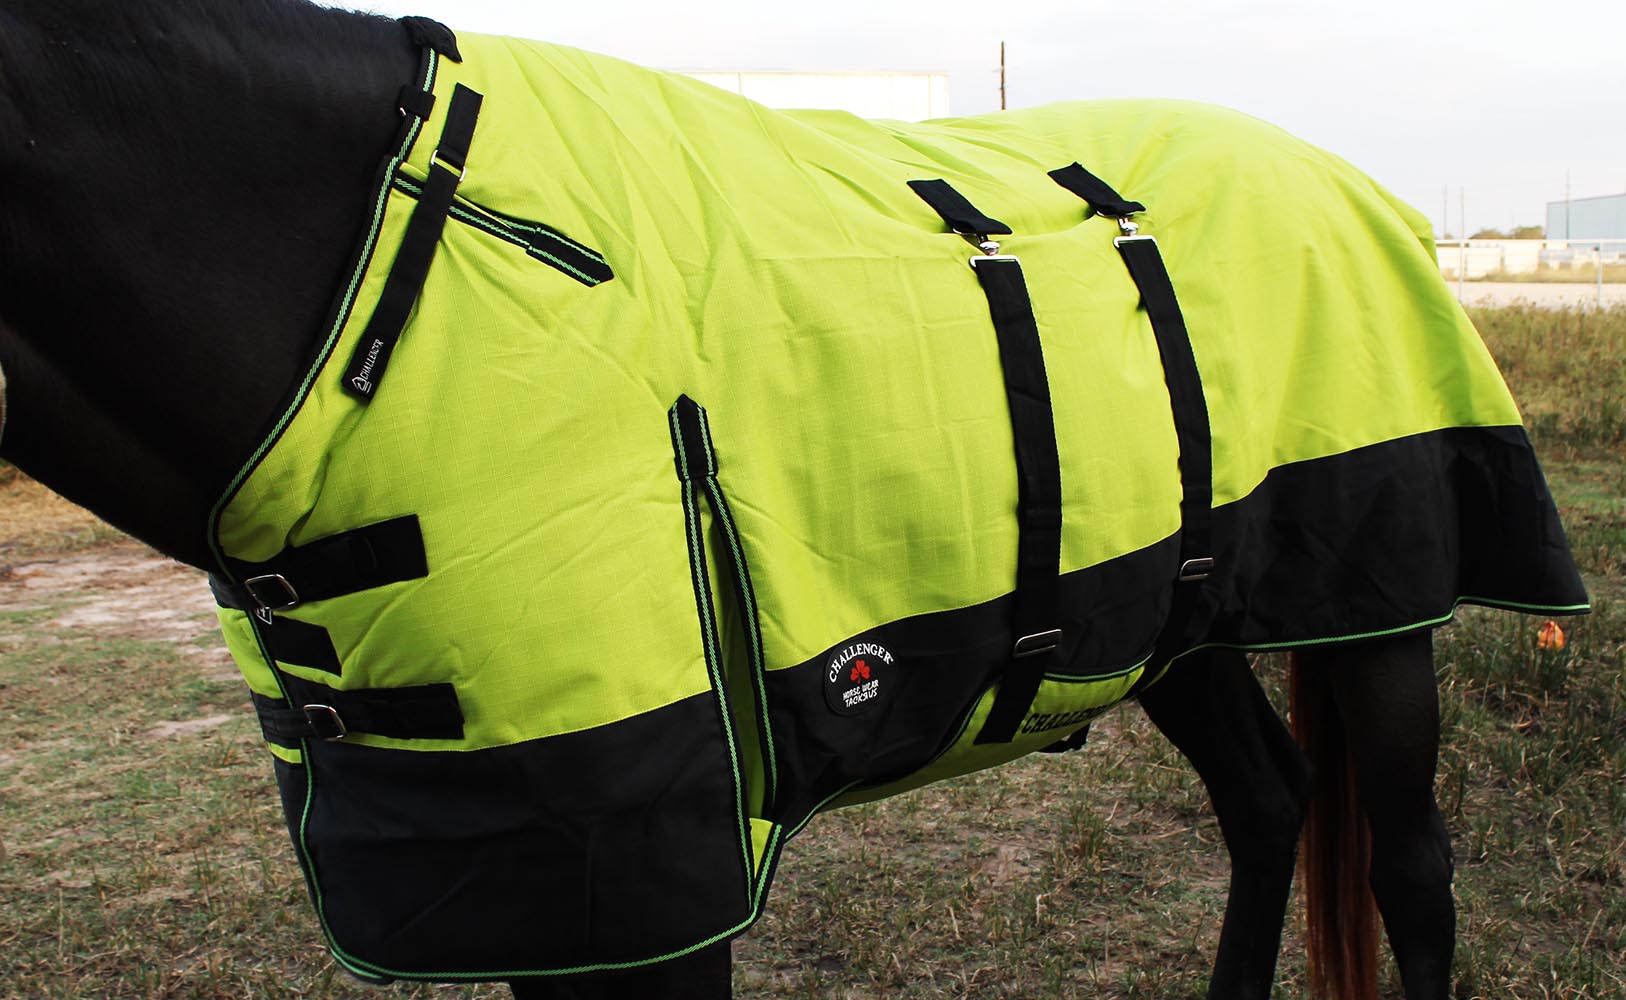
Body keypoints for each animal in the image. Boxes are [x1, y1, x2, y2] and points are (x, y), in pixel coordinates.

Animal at [0, 2, 1588, 998]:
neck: (405, 266)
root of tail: (1355, 184)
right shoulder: (517, 877)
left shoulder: (647, 879)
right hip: (1165, 621)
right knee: (1270, 808)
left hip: (1379, 614)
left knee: (1408, 869)